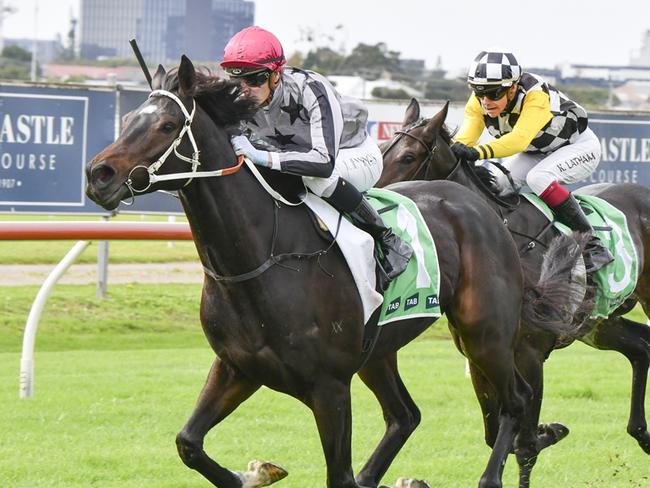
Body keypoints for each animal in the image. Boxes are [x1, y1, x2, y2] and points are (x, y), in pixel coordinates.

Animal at [83, 58, 580, 488]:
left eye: (167, 126)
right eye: (129, 119)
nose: (98, 174)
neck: (260, 258)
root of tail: (482, 209)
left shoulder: (330, 390)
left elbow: (337, 476)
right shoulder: (236, 368)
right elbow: (188, 443)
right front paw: (255, 473)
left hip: (484, 332)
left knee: (515, 400)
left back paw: (498, 469)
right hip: (380, 351)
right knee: (406, 415)